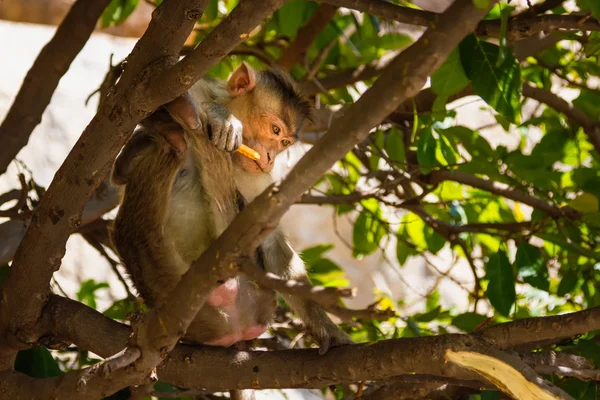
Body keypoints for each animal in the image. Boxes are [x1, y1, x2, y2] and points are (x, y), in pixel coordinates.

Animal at [111, 61, 352, 354]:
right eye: (275, 130)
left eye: (284, 143)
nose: (270, 158)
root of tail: (235, 328)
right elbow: (119, 168)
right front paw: (220, 117)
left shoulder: (259, 179)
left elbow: (271, 240)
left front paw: (329, 331)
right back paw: (181, 126)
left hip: (250, 297)